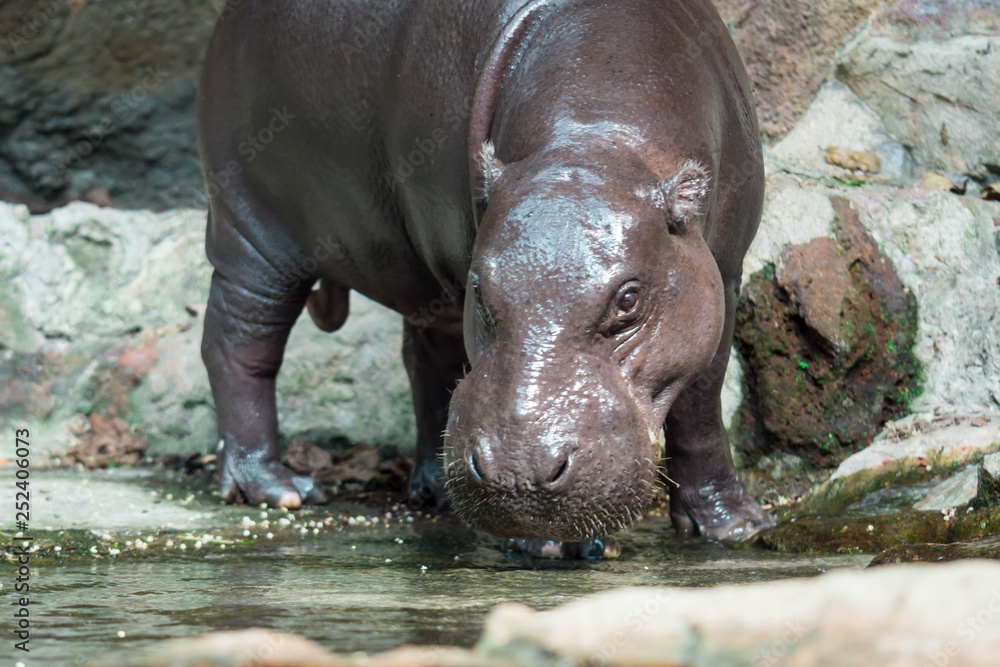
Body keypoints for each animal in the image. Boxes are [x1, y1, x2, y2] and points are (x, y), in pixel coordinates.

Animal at [197, 0, 774, 548]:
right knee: (239, 341)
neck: (596, 136)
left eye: (629, 299)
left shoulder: (723, 276)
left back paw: (432, 493)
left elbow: (701, 401)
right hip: (253, 226)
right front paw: (550, 547)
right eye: (481, 290)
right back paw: (276, 488)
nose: (518, 476)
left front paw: (734, 527)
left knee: (424, 358)